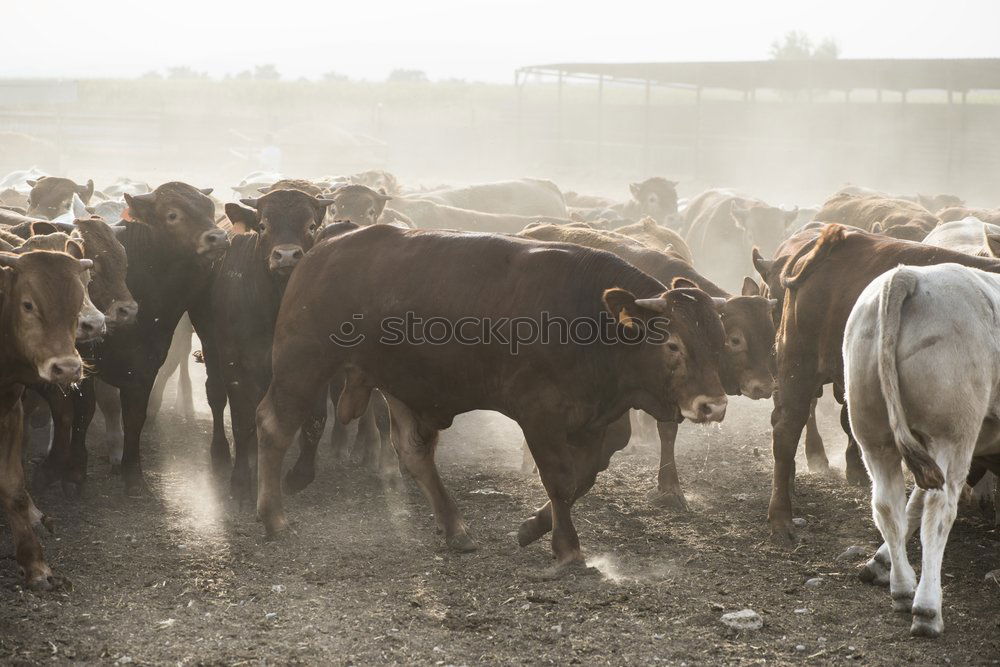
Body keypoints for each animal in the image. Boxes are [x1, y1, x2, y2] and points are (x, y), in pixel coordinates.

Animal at [0, 248, 92, 588]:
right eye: (28, 304)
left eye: (77, 307)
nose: (67, 369)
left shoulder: (11, 412)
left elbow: (13, 488)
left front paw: (34, 563)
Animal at [256, 226, 728, 568]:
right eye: (672, 344)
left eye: (720, 341)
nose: (714, 405)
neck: (590, 320)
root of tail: (317, 253)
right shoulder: (538, 416)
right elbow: (560, 478)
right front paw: (567, 547)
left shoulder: (596, 419)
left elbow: (584, 476)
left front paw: (533, 527)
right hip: (302, 365)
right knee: (274, 426)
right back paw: (273, 516)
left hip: (401, 385)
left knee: (413, 452)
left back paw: (455, 529)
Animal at [844, 264, 1000, 640]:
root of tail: (909, 275)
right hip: (951, 436)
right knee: (938, 511)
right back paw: (927, 607)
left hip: (874, 435)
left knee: (887, 506)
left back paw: (902, 588)